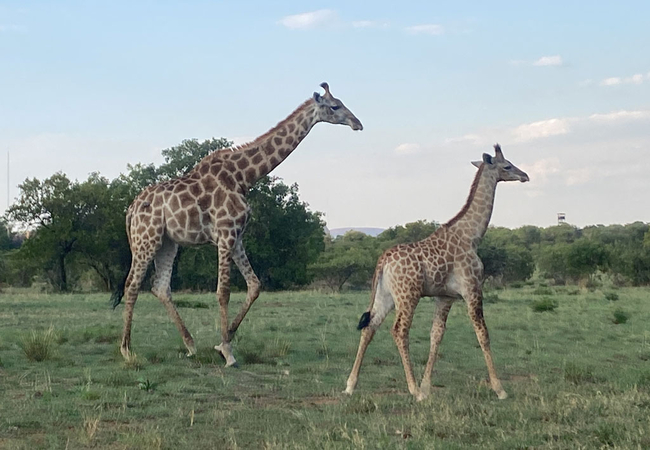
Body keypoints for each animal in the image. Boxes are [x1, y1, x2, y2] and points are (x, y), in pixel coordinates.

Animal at [113, 83, 362, 366]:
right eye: (335, 106)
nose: (358, 123)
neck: (244, 176)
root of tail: (131, 209)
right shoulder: (225, 233)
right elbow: (223, 291)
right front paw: (228, 352)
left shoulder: (238, 236)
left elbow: (254, 285)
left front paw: (224, 340)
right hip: (147, 238)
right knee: (132, 285)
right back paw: (127, 349)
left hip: (168, 242)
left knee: (161, 287)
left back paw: (190, 344)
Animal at [344, 144, 528, 400]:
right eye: (507, 166)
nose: (525, 176)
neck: (471, 236)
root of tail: (383, 260)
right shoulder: (472, 289)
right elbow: (483, 334)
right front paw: (499, 389)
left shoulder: (445, 296)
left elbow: (436, 336)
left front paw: (427, 386)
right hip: (408, 295)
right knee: (399, 331)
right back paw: (412, 390)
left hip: (386, 295)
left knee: (370, 327)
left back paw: (351, 385)